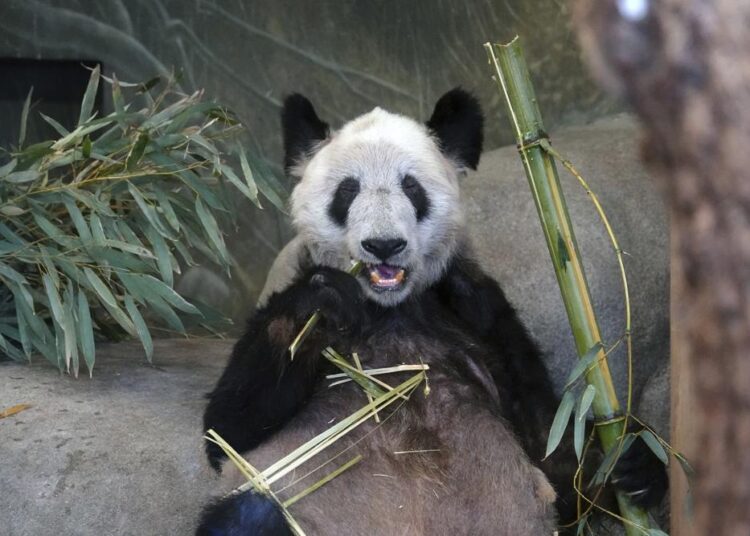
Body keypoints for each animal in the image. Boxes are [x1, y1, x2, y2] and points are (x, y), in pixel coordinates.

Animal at [197, 89, 666, 535]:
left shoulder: (479, 315)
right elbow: (229, 428)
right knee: (249, 515)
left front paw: (635, 460)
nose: (383, 245)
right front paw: (321, 304)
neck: (388, 309)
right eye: (347, 190)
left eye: (411, 187)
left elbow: (557, 454)